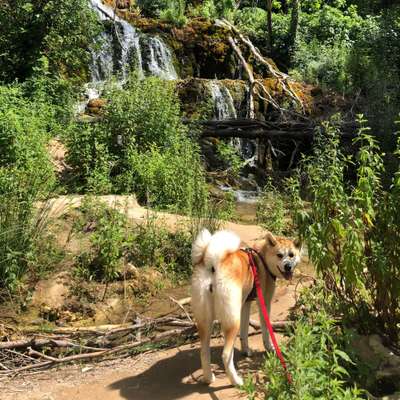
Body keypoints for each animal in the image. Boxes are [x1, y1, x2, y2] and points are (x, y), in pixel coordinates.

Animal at [190, 230, 300, 386]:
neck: (262, 258)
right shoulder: (264, 303)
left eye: (291, 255)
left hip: (206, 321)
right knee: (226, 355)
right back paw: (236, 381)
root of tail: (213, 264)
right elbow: (265, 330)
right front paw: (270, 347)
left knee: (204, 352)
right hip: (231, 320)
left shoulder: (245, 304)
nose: (288, 266)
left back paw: (208, 378)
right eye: (279, 255)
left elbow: (244, 331)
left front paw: (246, 350)